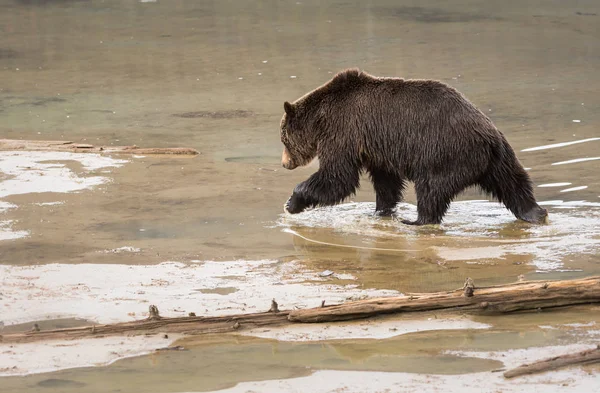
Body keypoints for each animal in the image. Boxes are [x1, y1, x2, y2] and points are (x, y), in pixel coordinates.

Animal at [278, 69, 548, 225]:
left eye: (283, 140)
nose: (284, 163)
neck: (320, 118)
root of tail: (487, 135)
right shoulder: (376, 147)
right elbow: (386, 182)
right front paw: (380, 210)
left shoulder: (344, 132)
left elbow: (337, 177)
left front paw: (292, 202)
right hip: (499, 156)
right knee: (513, 183)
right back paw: (535, 212)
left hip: (444, 153)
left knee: (431, 189)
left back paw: (417, 220)